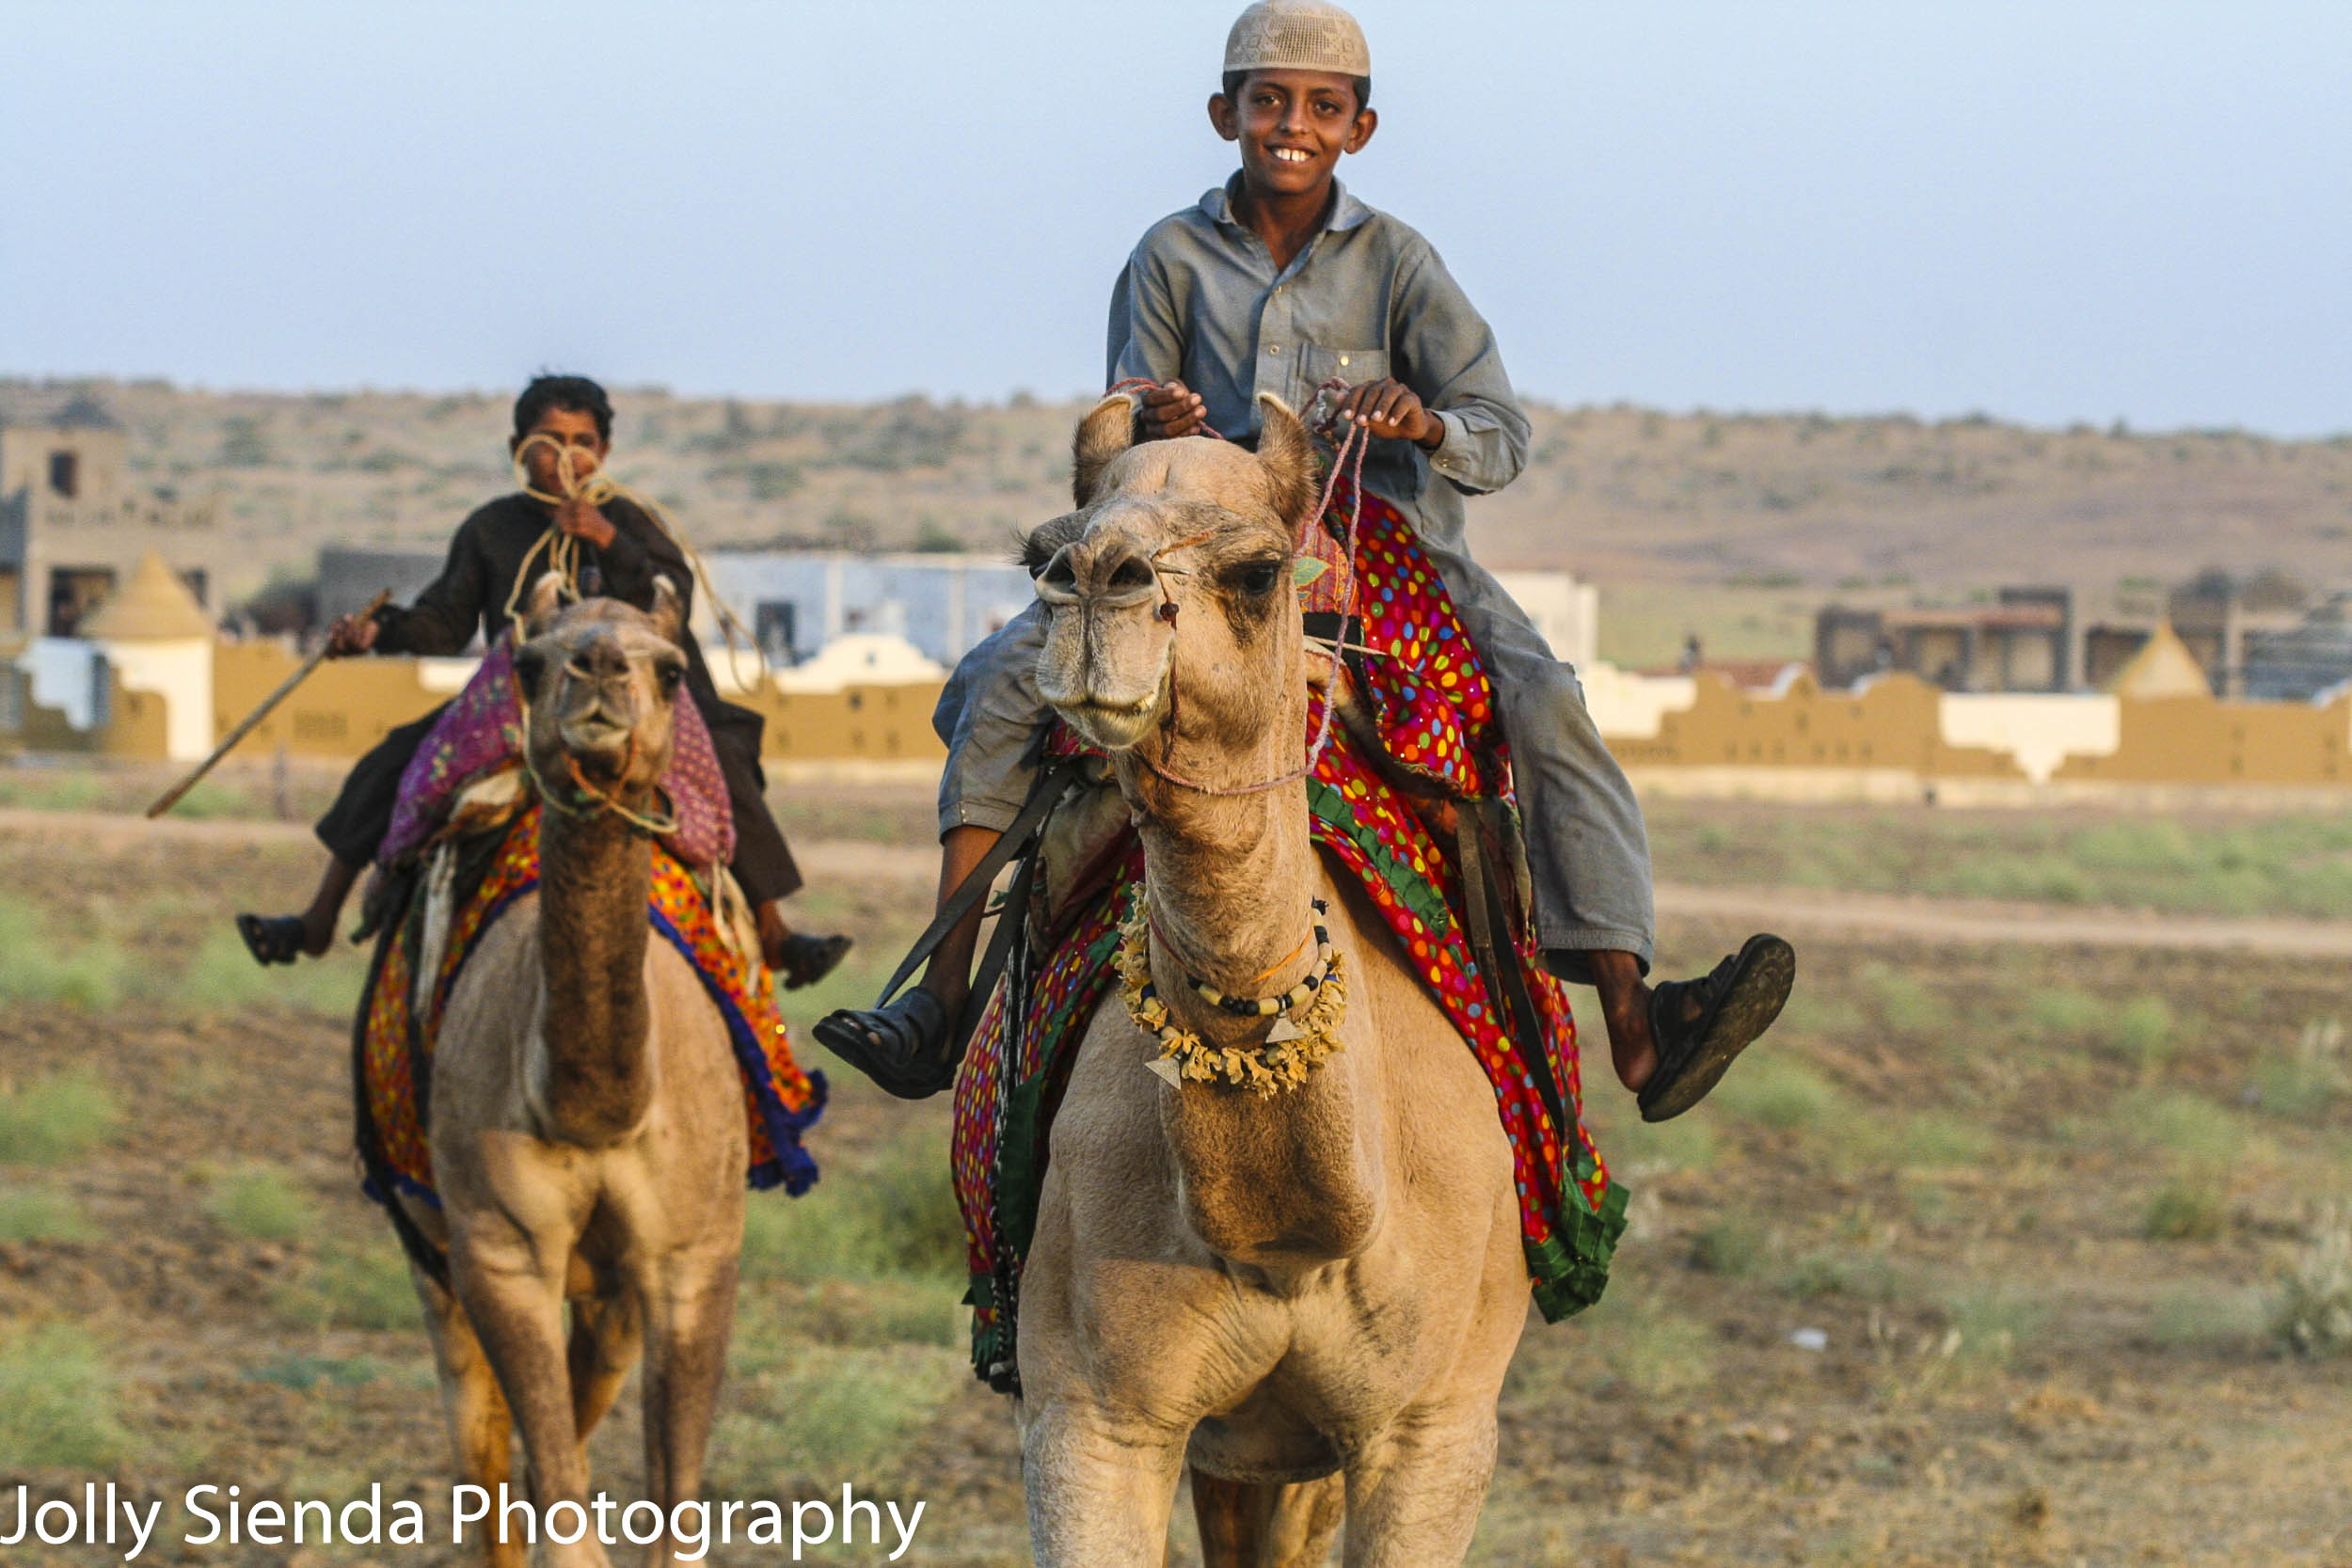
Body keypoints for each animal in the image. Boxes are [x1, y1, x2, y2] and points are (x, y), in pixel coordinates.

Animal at [405, 582, 748, 1568]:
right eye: (528, 662)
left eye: (671, 668)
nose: (598, 667)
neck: (594, 1113)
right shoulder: (500, 1249)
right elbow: (556, 1505)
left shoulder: (690, 1257)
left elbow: (672, 1520)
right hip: (433, 1251)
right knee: (481, 1447)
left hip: (612, 1295)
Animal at [1021, 392, 1534, 1568]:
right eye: (1041, 555)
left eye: (1256, 571)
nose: (1094, 584)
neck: (1290, 1235)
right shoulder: (1090, 1412)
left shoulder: (1435, 1422)